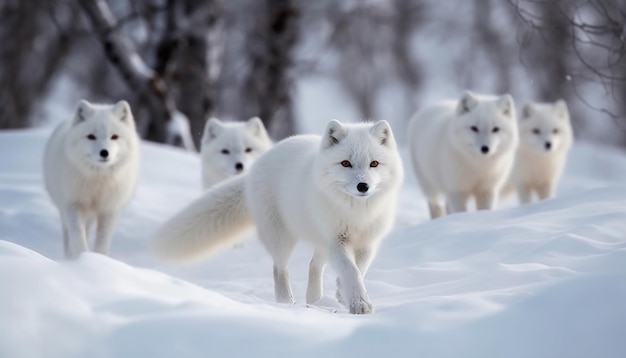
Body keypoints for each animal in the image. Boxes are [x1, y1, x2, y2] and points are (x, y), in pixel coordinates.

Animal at [44, 99, 140, 258]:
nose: (104, 152)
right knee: (68, 236)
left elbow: (102, 240)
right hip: (65, 210)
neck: (98, 181)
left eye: (114, 136)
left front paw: (99, 259)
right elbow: (77, 235)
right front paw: (83, 258)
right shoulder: (73, 205)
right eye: (91, 136)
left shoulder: (109, 210)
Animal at [154, 119, 402, 314]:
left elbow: (359, 269)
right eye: (346, 163)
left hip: (318, 240)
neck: (357, 211)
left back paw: (315, 300)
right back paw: (286, 302)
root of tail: (256, 166)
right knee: (279, 268)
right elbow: (351, 270)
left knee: (314, 265)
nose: (363, 186)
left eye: (374, 163)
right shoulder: (336, 240)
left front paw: (343, 295)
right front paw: (360, 304)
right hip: (281, 236)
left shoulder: (367, 242)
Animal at [404, 89, 516, 218]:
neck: (479, 167)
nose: (485, 149)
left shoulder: (487, 191)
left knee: (447, 206)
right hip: (429, 185)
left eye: (495, 129)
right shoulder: (457, 191)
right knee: (434, 205)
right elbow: (461, 211)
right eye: (474, 128)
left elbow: (485, 210)